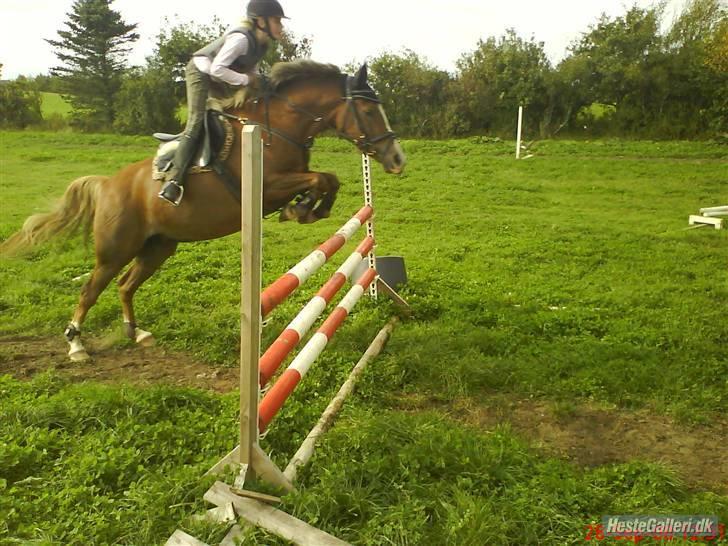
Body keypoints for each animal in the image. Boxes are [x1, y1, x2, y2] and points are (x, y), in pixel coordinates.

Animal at [1, 61, 404, 360]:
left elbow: (327, 179)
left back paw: (137, 332)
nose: (397, 159)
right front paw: (300, 209)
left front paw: (305, 209)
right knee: (91, 289)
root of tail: (108, 184)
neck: (277, 128)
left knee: (125, 284)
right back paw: (76, 345)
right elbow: (323, 178)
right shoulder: (268, 187)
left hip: (158, 247)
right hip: (116, 249)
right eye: (368, 109)